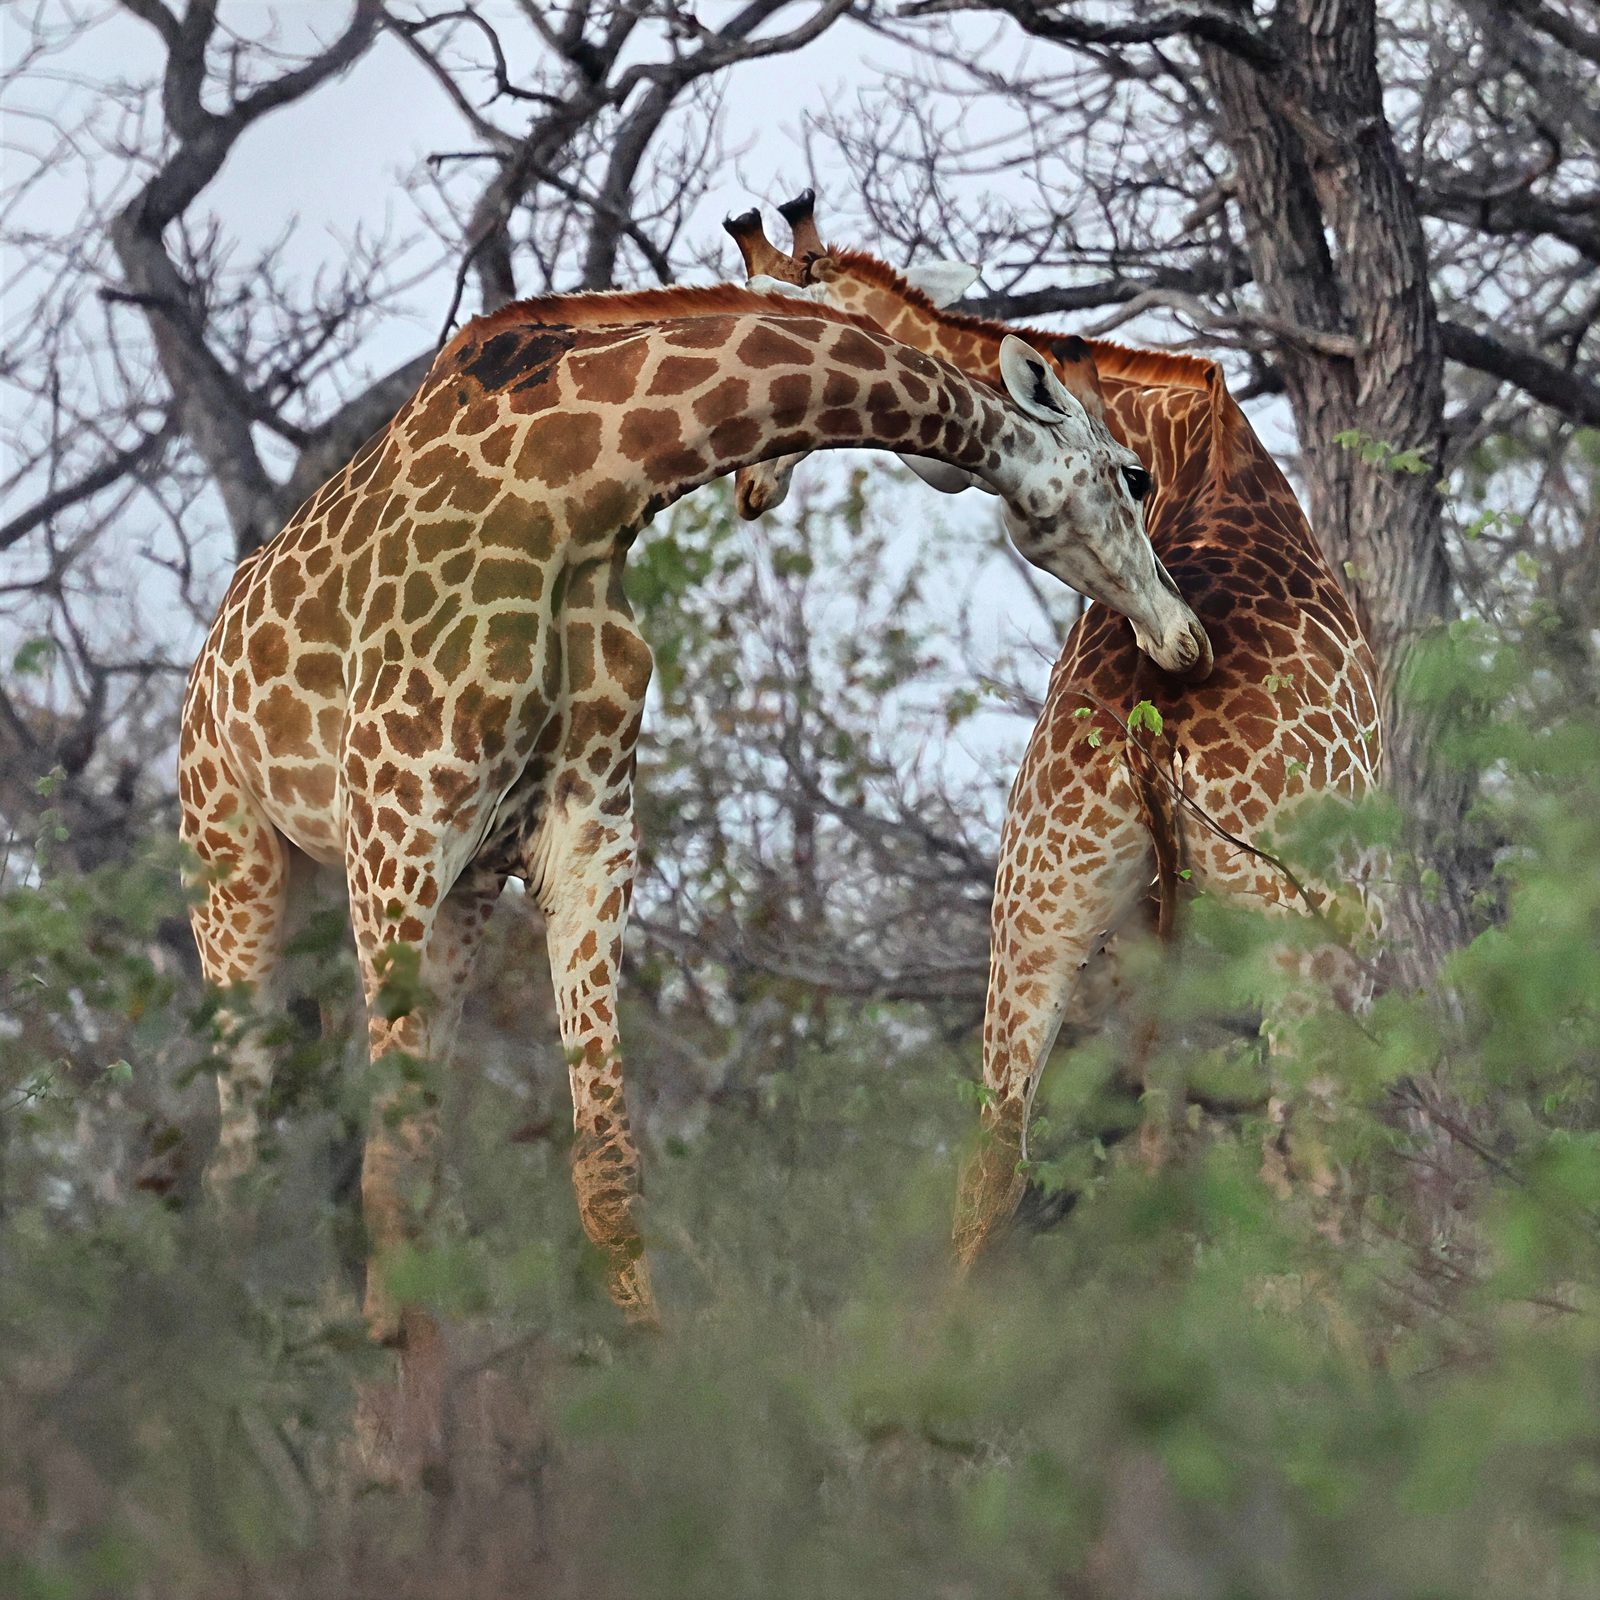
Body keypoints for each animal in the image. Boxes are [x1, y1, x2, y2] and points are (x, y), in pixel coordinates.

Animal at [179, 278, 1213, 1377]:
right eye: (1135, 476)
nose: (1184, 636)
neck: (581, 487)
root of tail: (202, 666)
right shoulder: (396, 816)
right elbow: (392, 1138)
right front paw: (392, 1367)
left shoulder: (581, 836)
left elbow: (600, 1154)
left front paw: (653, 1363)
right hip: (238, 858)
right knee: (244, 1143)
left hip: (457, 895)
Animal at [721, 196, 1382, 1264]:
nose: (749, 483)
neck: (1181, 428)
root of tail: (1154, 728)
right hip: (1296, 912)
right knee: (1313, 1153)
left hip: (1038, 903)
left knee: (995, 1167)